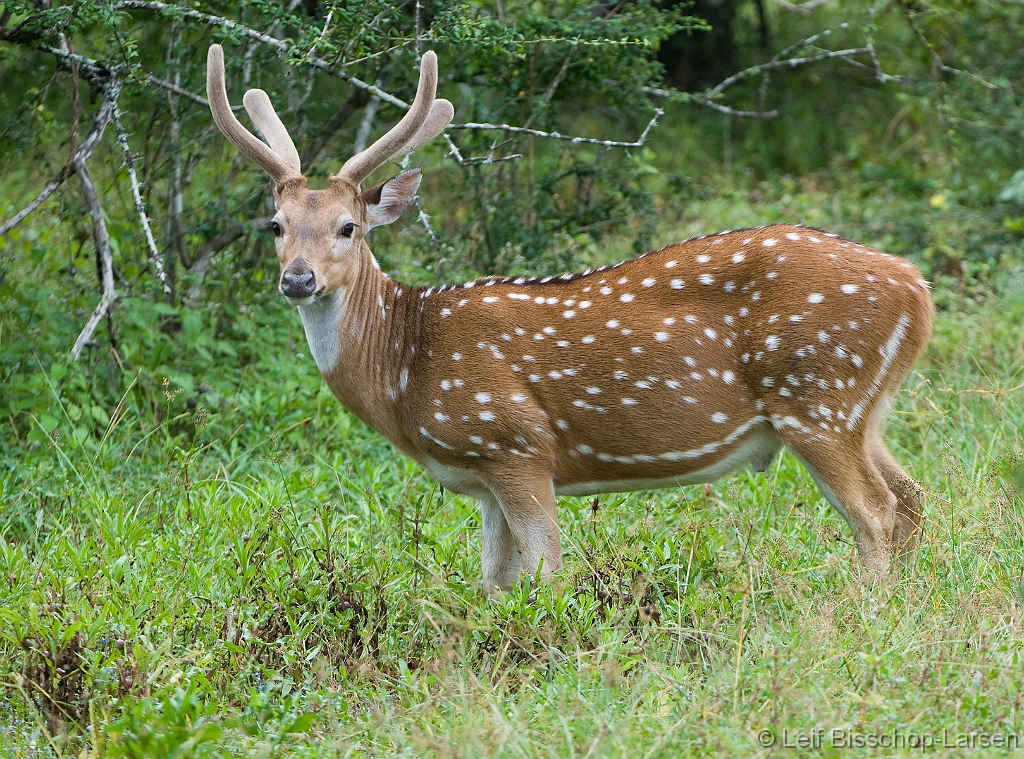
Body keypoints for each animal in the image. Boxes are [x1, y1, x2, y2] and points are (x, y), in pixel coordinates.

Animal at [203, 44, 933, 594]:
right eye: (276, 225)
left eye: (348, 227)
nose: (298, 279)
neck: (405, 367)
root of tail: (917, 288)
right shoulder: (484, 479)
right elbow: (495, 582)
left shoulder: (514, 441)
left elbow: (546, 572)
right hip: (860, 408)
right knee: (912, 496)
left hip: (816, 394)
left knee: (874, 511)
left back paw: (865, 613)